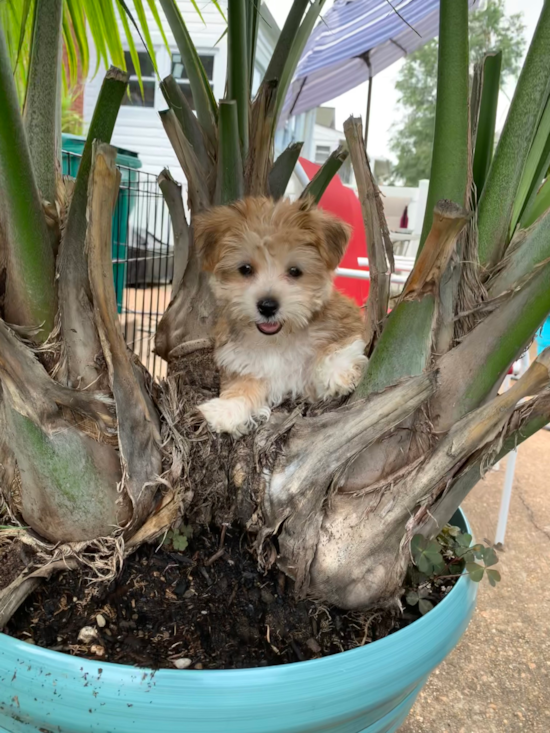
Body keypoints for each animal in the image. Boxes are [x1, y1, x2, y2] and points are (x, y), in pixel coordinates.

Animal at [196, 194, 368, 434]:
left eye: (295, 271)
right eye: (245, 269)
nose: (267, 306)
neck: (280, 339)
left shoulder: (345, 322)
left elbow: (340, 345)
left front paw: (336, 371)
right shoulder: (242, 362)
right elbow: (242, 385)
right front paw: (227, 409)